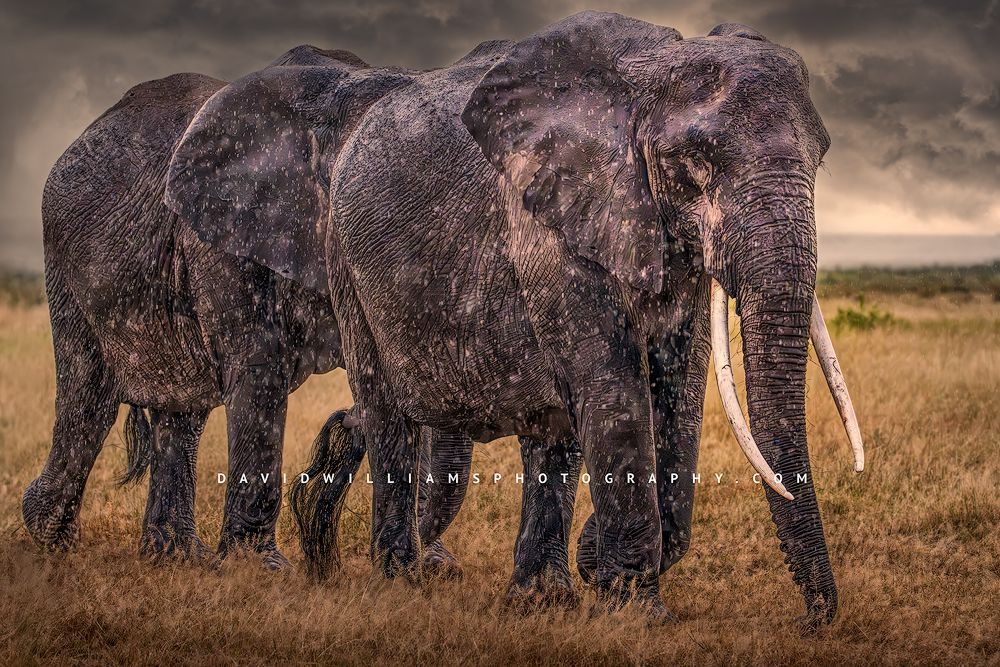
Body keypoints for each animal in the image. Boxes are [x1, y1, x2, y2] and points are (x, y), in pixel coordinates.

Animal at [23, 44, 474, 572]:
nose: (346, 422)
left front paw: (438, 570)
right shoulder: (218, 233)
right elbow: (259, 367)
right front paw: (262, 570)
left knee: (184, 413)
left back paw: (176, 556)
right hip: (66, 259)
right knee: (88, 398)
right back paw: (49, 537)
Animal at [166, 12, 865, 626]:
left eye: (822, 156)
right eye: (696, 159)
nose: (812, 621)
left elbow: (678, 390)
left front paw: (604, 578)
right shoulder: (548, 222)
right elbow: (614, 392)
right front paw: (637, 613)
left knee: (549, 429)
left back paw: (539, 599)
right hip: (345, 263)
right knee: (388, 410)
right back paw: (401, 582)